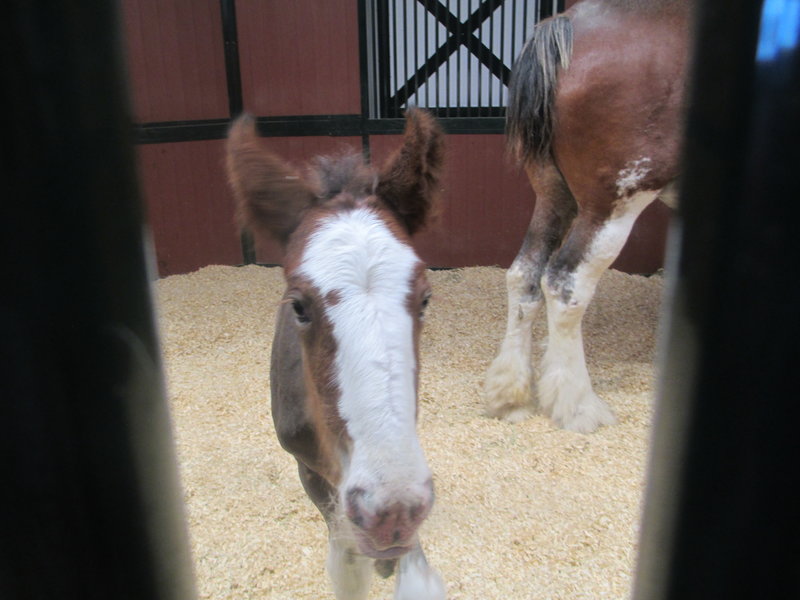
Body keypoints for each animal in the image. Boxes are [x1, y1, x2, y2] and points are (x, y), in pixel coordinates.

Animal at [484, 0, 692, 432]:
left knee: (524, 275)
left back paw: (510, 395)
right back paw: (577, 405)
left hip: (552, 196)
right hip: (612, 208)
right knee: (565, 284)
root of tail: (569, 24)